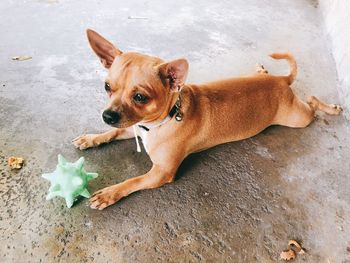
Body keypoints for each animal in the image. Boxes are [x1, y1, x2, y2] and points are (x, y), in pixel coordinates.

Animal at [72, 28, 342, 210]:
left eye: (140, 97)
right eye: (107, 86)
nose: (107, 115)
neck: (163, 120)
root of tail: (282, 81)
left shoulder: (161, 172)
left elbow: (132, 181)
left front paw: (110, 193)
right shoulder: (132, 126)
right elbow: (113, 132)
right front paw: (91, 138)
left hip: (299, 118)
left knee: (313, 102)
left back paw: (332, 108)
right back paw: (261, 70)